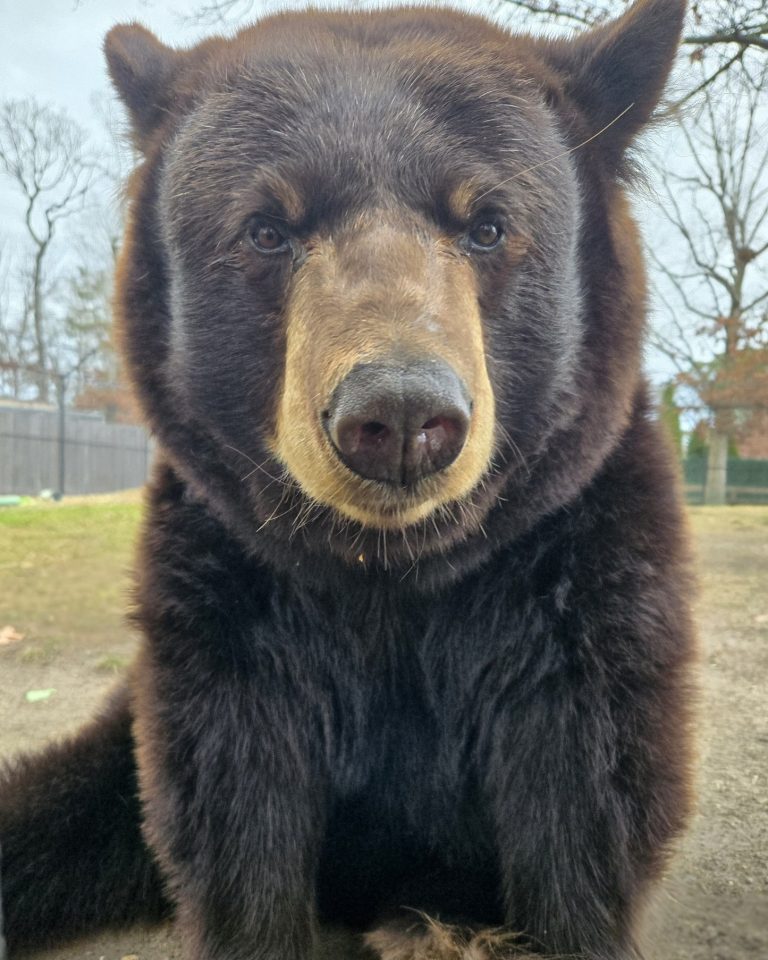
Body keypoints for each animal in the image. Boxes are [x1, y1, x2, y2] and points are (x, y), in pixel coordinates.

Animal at [0, 2, 695, 959]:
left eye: (487, 224)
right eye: (266, 227)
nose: (400, 415)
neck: (390, 569)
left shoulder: (572, 583)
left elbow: (585, 809)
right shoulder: (229, 605)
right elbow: (231, 811)